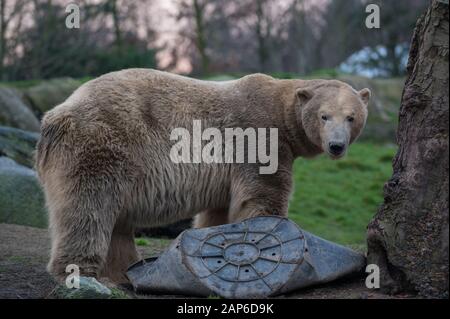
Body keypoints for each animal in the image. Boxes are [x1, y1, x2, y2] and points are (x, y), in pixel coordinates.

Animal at [37, 69, 370, 284]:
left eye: (351, 117)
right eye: (324, 116)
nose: (336, 146)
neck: (280, 106)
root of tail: (56, 115)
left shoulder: (226, 171)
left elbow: (218, 212)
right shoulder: (259, 137)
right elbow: (264, 194)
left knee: (116, 219)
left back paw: (123, 271)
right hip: (104, 145)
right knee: (90, 206)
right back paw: (79, 270)